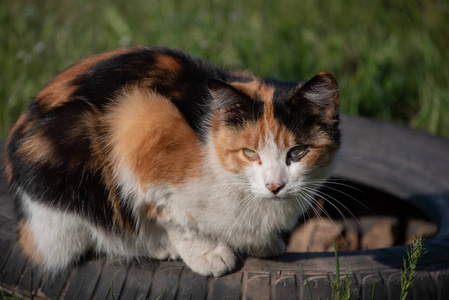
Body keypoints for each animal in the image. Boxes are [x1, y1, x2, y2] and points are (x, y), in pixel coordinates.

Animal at [4, 45, 340, 276]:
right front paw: (209, 254)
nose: (274, 186)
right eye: (250, 153)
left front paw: (261, 243)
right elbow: (174, 217)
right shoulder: (143, 127)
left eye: (297, 152)